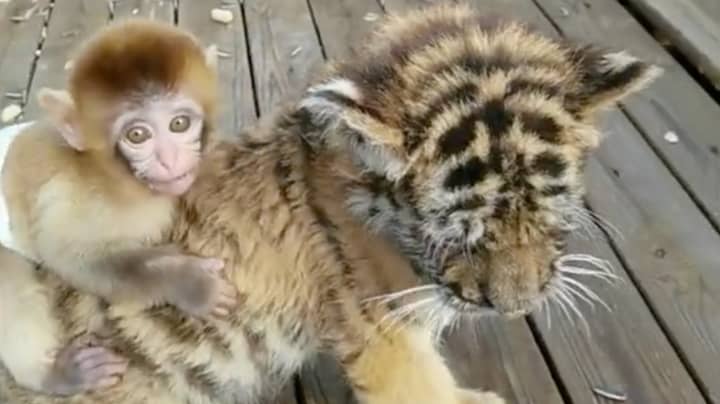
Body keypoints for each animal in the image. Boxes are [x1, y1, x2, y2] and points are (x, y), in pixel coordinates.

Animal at [0, 18, 236, 394]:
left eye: (179, 124)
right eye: (137, 135)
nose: (170, 159)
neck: (122, 183)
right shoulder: (71, 199)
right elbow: (73, 260)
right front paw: (189, 281)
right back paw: (56, 375)